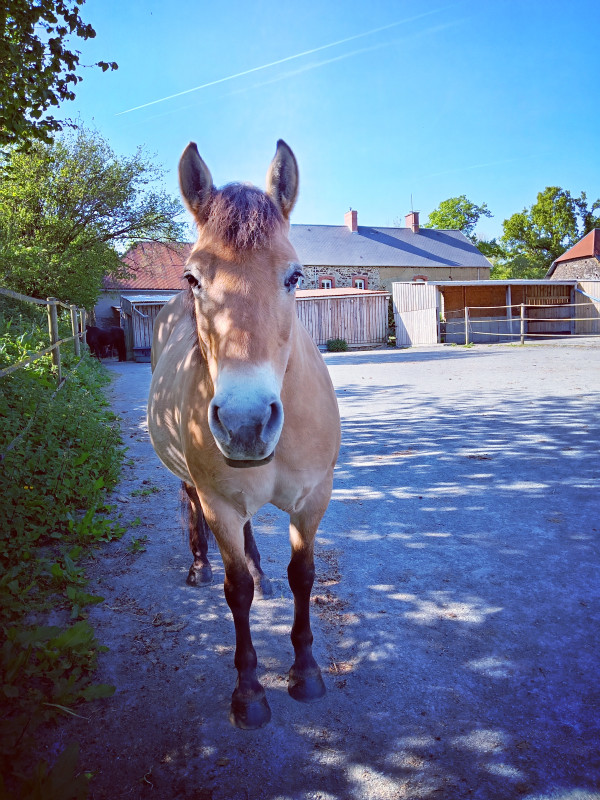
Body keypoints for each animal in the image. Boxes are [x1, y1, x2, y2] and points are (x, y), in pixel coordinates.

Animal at [147, 140, 341, 729]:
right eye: (193, 278)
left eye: (294, 276)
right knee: (191, 507)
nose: (245, 423)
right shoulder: (221, 504)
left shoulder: (313, 499)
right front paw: (250, 692)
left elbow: (304, 575)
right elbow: (238, 593)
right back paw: (199, 566)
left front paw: (305, 673)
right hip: (196, 487)